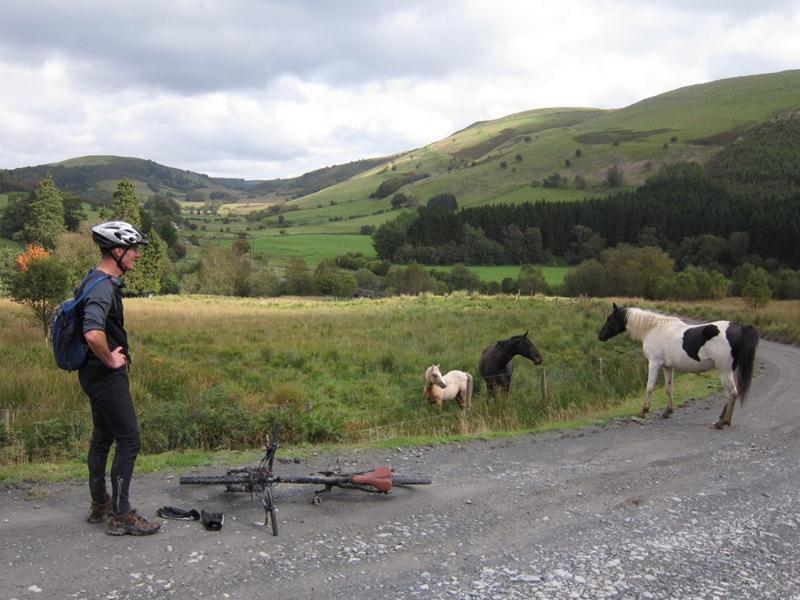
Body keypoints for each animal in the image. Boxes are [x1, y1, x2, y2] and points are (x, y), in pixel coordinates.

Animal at [596, 304, 760, 426]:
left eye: (610, 319)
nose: (600, 336)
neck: (653, 329)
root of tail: (741, 327)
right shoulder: (667, 366)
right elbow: (669, 388)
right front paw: (668, 411)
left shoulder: (654, 363)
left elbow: (649, 387)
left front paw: (643, 411)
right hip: (730, 371)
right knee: (731, 393)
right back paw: (722, 418)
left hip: (724, 371)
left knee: (732, 393)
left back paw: (723, 422)